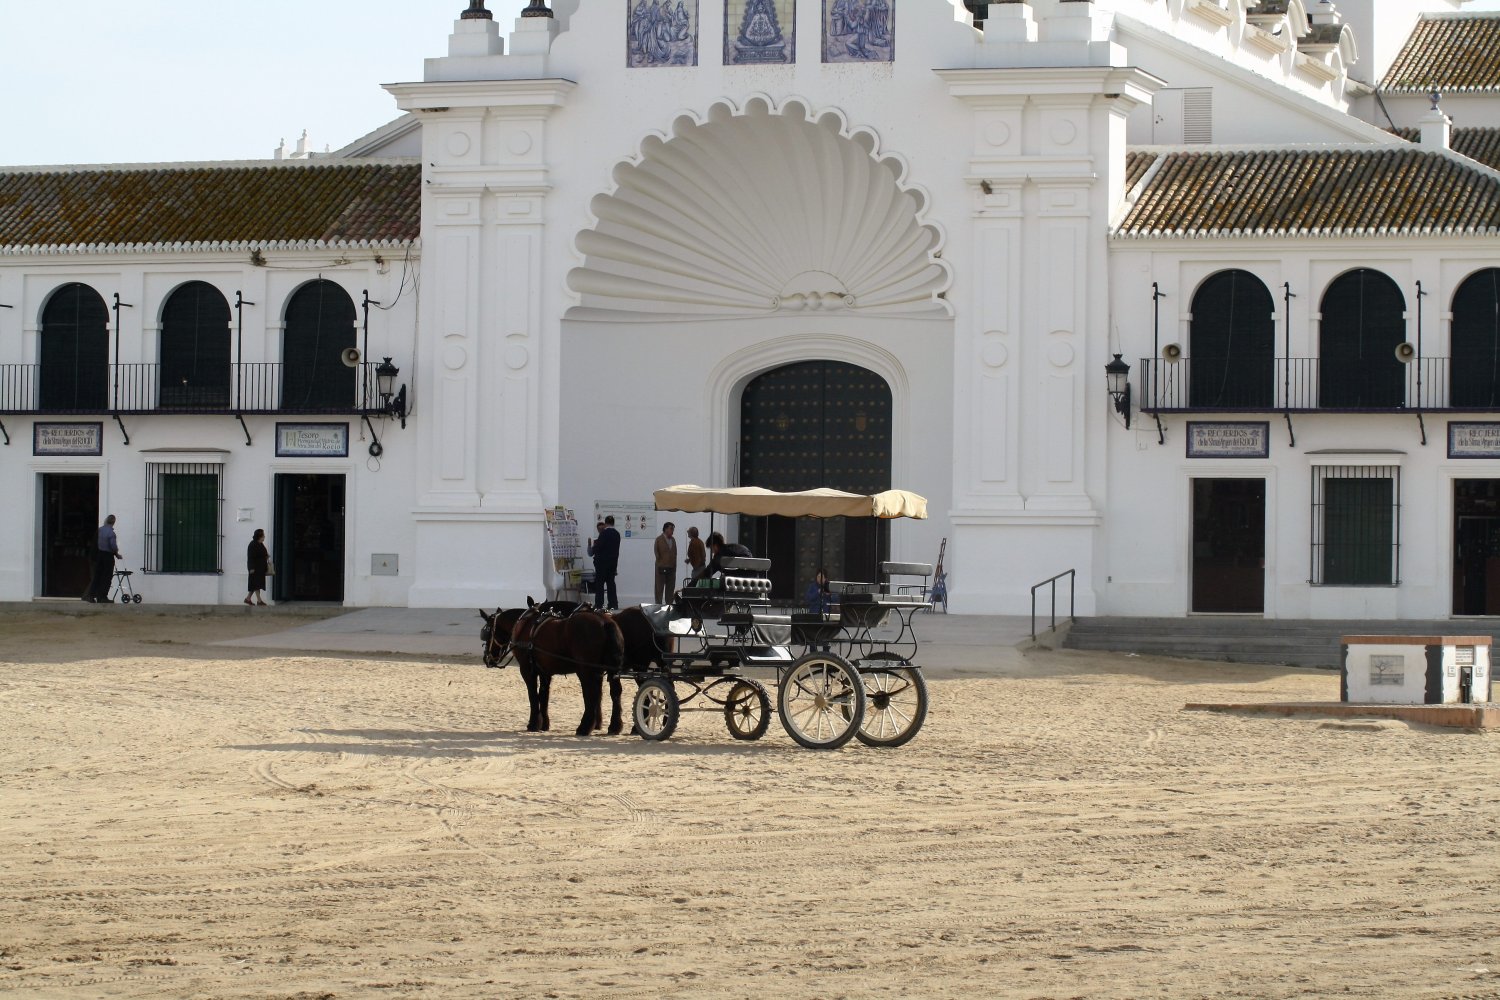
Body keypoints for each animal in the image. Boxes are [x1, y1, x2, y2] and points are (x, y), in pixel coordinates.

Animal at [480, 602, 621, 734]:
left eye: (488, 632)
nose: (487, 659)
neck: (525, 625)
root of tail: (605, 622)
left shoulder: (527, 670)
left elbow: (532, 695)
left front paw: (533, 724)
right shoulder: (544, 672)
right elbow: (543, 695)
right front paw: (544, 724)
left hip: (586, 670)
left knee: (592, 693)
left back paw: (585, 727)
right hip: (608, 669)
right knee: (614, 692)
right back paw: (614, 726)